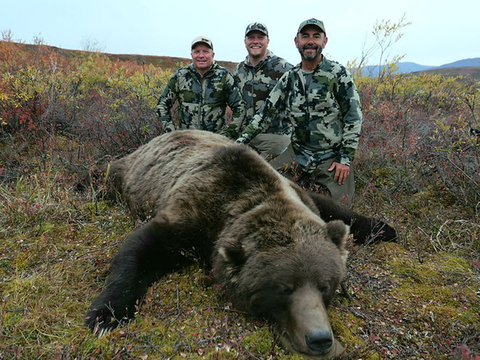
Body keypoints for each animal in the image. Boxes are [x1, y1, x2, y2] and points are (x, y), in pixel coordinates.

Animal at [83, 129, 398, 358]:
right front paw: (104, 316)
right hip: (130, 171)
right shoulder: (193, 211)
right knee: (107, 174)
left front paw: (384, 227)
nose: (319, 339)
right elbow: (141, 248)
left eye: (325, 286)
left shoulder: (298, 193)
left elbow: (332, 206)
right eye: (284, 289)